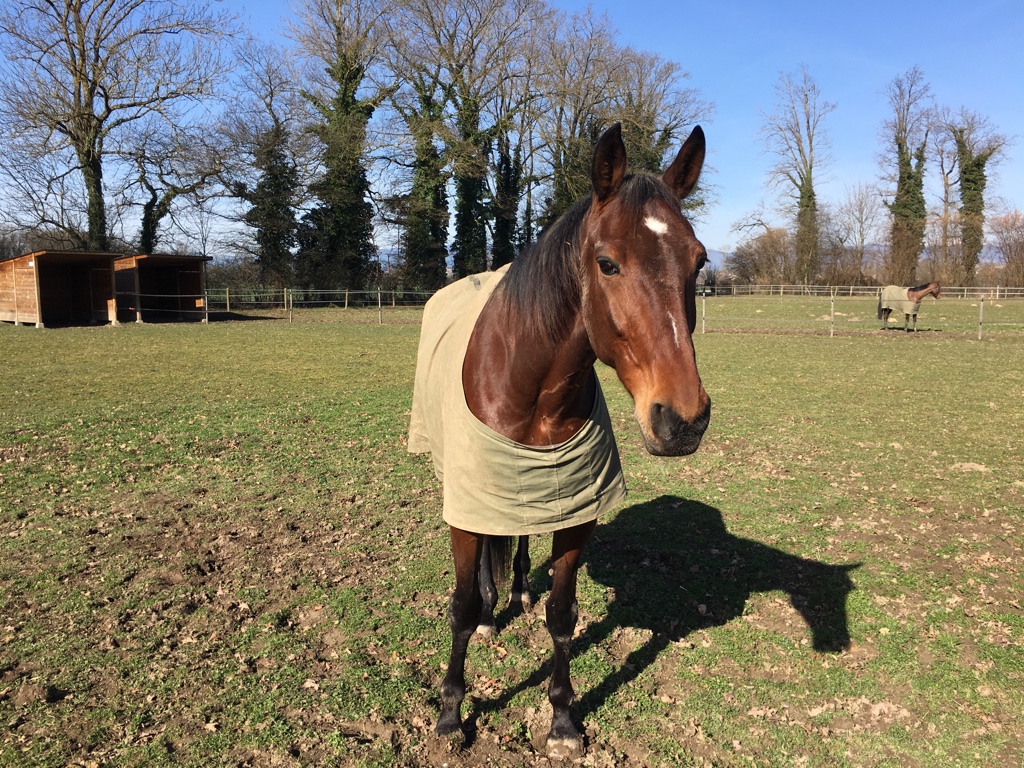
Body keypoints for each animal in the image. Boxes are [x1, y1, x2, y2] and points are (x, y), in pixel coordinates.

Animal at [408, 122, 710, 757]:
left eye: (699, 262)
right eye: (607, 263)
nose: (684, 420)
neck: (529, 386)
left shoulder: (576, 510)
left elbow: (564, 614)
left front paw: (564, 719)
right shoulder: (467, 509)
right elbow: (461, 606)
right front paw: (450, 713)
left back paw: (518, 591)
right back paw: (494, 609)